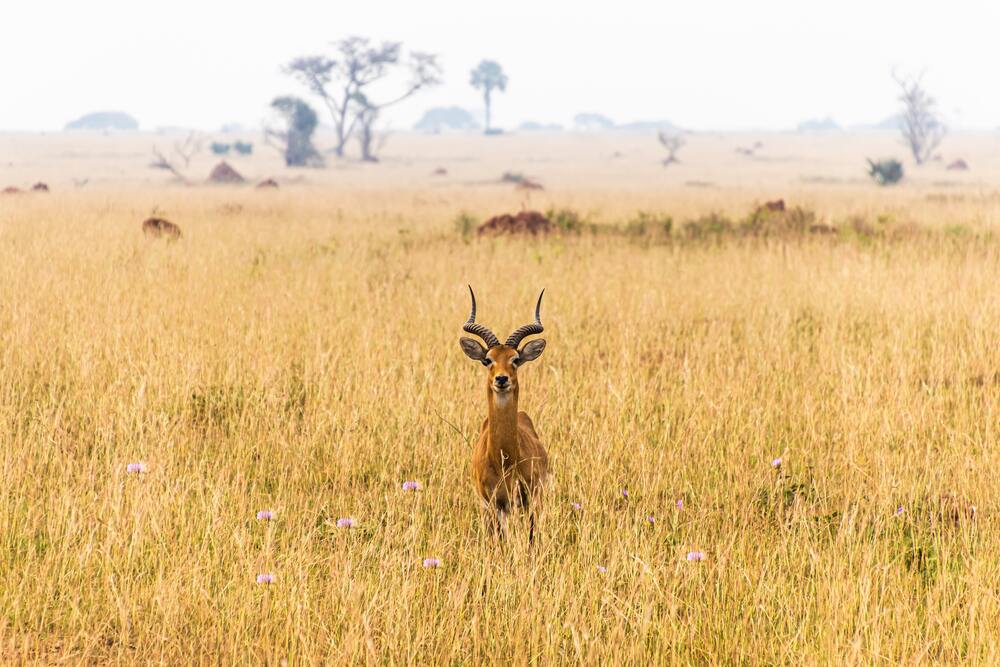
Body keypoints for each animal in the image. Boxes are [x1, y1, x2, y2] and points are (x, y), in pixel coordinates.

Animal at [459, 286, 549, 542]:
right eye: (487, 359)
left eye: (515, 359)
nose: (501, 379)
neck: (504, 461)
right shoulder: (492, 503)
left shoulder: (529, 499)